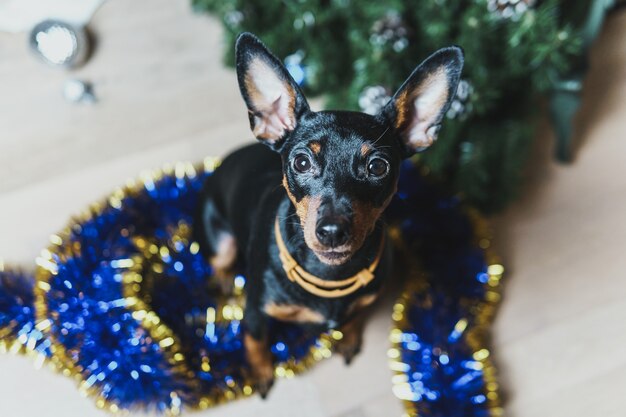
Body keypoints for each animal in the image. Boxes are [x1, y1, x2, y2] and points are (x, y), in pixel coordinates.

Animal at [195, 31, 464, 396]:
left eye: (378, 167)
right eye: (301, 162)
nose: (333, 231)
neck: (330, 274)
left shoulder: (365, 301)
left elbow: (354, 319)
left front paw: (348, 340)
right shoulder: (255, 313)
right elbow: (255, 341)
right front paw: (260, 373)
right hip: (220, 240)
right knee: (220, 259)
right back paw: (223, 278)